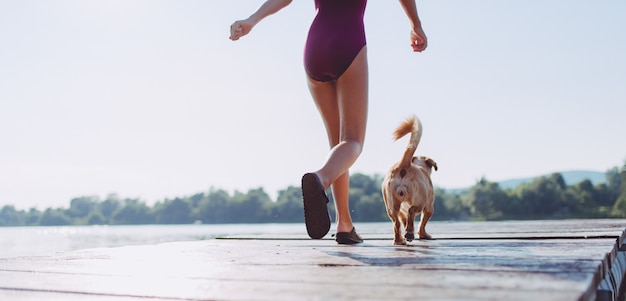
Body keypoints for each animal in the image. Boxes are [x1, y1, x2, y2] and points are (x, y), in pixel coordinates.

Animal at [380, 115, 434, 244]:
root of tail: (404, 165)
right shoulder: (429, 207)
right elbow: (422, 223)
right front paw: (423, 235)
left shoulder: (401, 212)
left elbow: (403, 221)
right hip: (420, 202)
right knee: (411, 211)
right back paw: (409, 234)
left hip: (391, 207)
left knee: (396, 223)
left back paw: (399, 240)